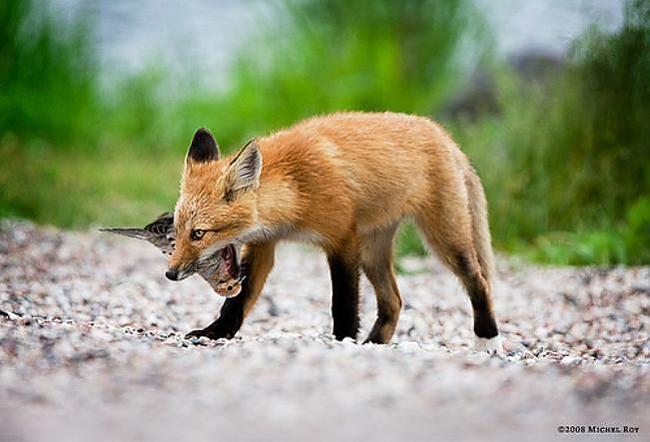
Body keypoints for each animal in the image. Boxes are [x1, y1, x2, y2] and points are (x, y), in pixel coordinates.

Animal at [119, 112, 498, 350]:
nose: (170, 273)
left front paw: (343, 339)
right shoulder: (264, 245)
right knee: (394, 301)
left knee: (477, 279)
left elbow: (342, 303)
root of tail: (444, 134)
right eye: (178, 231)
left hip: (443, 239)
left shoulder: (342, 240)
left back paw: (487, 337)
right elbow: (237, 303)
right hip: (374, 252)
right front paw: (216, 333)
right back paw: (375, 343)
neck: (296, 190)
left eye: (199, 233)